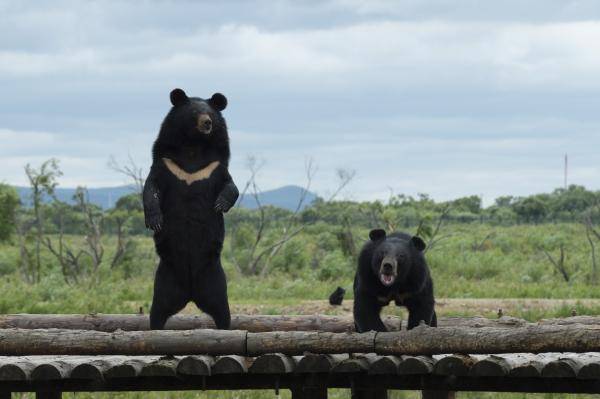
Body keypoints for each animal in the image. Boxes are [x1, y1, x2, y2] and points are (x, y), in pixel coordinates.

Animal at [143, 88, 239, 332]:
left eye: (211, 114)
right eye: (195, 112)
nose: (207, 123)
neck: (193, 148)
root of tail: (190, 293)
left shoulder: (214, 167)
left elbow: (231, 186)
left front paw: (220, 204)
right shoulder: (167, 164)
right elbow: (151, 188)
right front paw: (155, 220)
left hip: (215, 279)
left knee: (223, 312)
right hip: (164, 280)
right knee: (156, 312)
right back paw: (156, 328)